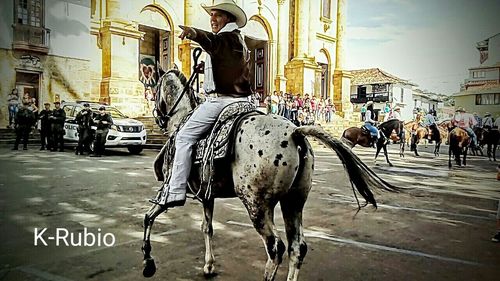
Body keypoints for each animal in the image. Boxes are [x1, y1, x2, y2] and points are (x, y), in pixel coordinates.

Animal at [141, 68, 398, 280]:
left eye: (155, 88)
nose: (158, 117)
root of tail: (295, 132)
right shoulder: (207, 195)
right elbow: (207, 227)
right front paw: (209, 265)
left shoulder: (168, 191)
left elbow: (149, 216)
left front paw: (148, 261)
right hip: (293, 202)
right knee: (297, 247)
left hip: (257, 204)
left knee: (276, 248)